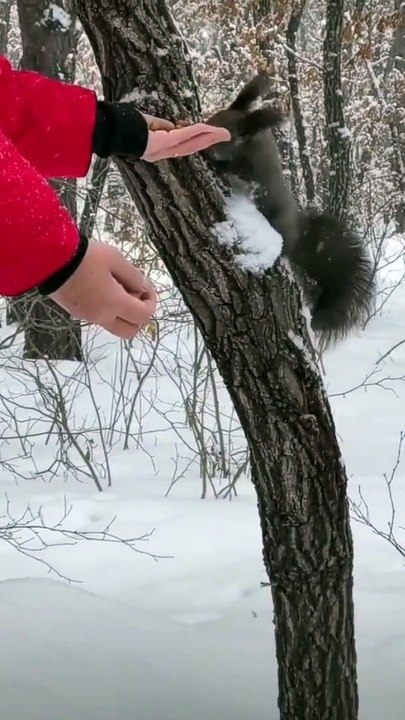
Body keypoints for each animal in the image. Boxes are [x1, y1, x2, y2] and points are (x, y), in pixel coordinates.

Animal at [203, 73, 376, 349]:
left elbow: (237, 171)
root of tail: (299, 237)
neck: (250, 144)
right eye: (209, 118)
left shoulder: (251, 170)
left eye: (221, 136)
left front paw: (217, 166)